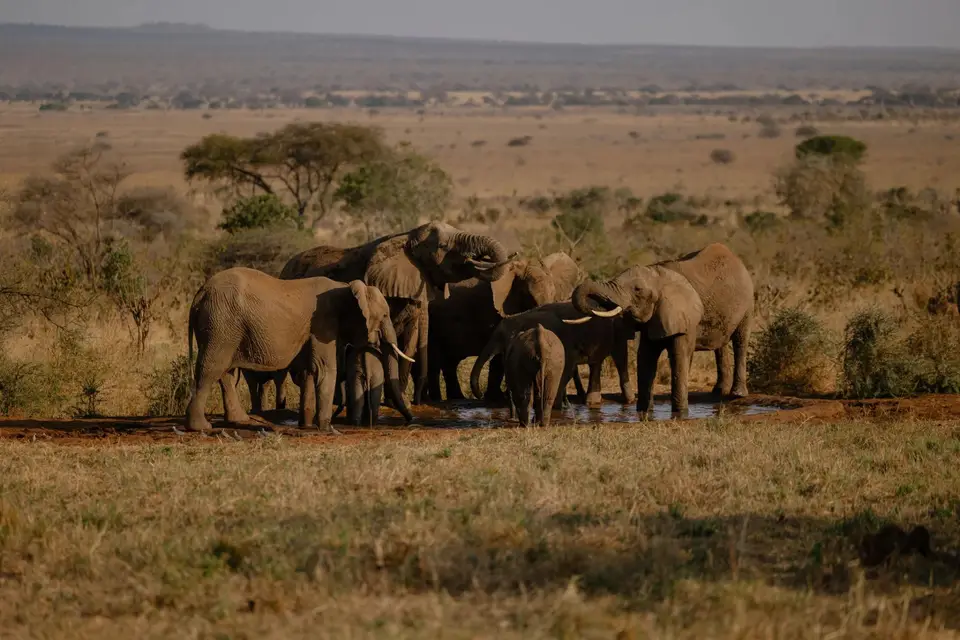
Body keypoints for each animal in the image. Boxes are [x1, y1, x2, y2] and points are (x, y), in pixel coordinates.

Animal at [185, 267, 414, 433]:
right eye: (385, 316)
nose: (410, 421)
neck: (345, 287)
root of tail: (200, 293)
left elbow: (309, 371)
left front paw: (307, 425)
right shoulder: (323, 322)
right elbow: (324, 368)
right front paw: (327, 428)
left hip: (224, 327)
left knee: (225, 372)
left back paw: (239, 420)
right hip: (221, 323)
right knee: (212, 368)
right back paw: (201, 427)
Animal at [280, 222, 510, 422]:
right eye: (443, 247)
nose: (418, 400)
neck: (406, 238)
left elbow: (408, 342)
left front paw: (396, 401)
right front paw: (395, 402)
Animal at [425, 251, 581, 402]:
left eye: (554, 294)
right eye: (527, 295)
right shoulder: (493, 309)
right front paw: (497, 398)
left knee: (449, 361)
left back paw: (456, 398)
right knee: (435, 359)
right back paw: (438, 399)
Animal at [470, 302, 636, 408]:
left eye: (500, 337)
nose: (480, 396)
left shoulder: (563, 342)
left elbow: (565, 370)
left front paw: (556, 406)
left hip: (618, 330)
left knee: (619, 357)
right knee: (596, 363)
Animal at [565, 242, 753, 417]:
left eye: (637, 290)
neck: (658, 274)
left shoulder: (685, 317)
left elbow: (679, 356)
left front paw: (680, 414)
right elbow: (645, 357)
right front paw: (643, 412)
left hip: (747, 301)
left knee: (740, 340)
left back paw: (737, 394)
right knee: (721, 345)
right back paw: (719, 391)